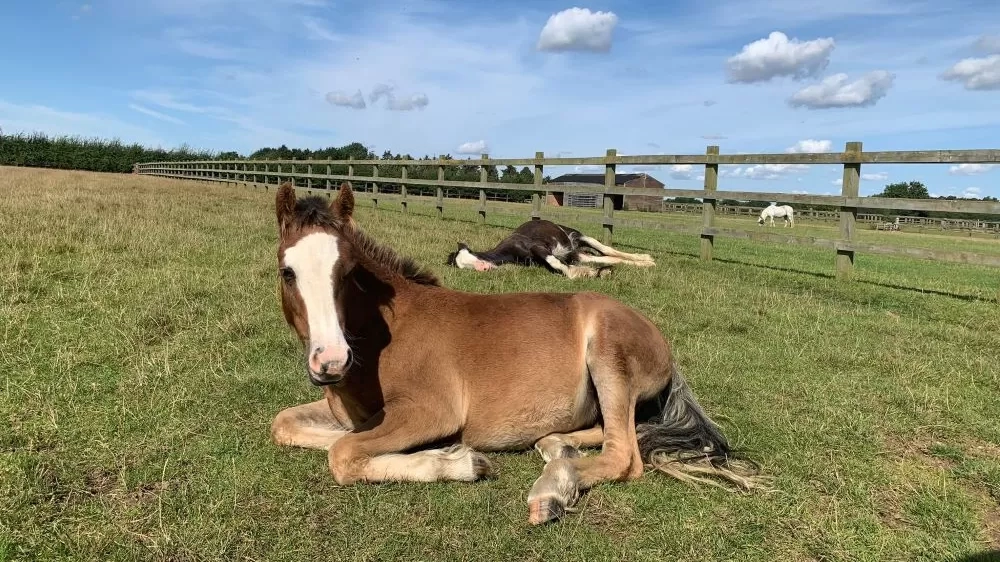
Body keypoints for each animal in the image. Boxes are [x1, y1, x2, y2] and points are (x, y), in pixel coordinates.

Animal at [446, 217, 656, 278]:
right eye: (461, 266)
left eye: (471, 252)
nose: (483, 267)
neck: (511, 248)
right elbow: (560, 266)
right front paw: (595, 272)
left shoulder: (539, 248)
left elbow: (557, 265)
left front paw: (588, 273)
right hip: (576, 253)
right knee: (609, 257)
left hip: (579, 237)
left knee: (607, 250)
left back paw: (647, 259)